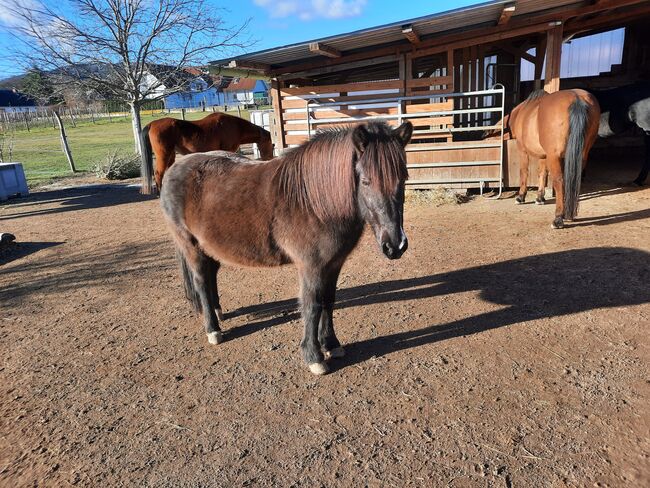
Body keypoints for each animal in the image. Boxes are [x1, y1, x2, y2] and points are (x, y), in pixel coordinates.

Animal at [140, 111, 272, 193]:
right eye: (271, 146)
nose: (269, 160)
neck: (236, 126)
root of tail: (152, 124)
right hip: (164, 155)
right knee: (158, 174)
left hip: (171, 155)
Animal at [159, 120, 410, 376]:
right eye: (366, 181)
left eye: (403, 178)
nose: (395, 245)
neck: (315, 202)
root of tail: (174, 169)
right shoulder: (311, 267)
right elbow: (312, 305)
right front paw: (314, 357)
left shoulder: (333, 264)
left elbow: (328, 301)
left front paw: (332, 345)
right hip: (191, 246)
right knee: (201, 281)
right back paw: (213, 329)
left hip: (211, 247)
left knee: (210, 276)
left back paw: (218, 312)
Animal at [492, 89, 596, 229]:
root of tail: (576, 98)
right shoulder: (544, 155)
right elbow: (542, 173)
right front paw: (539, 198)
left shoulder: (523, 150)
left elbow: (524, 172)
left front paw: (521, 196)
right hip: (581, 155)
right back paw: (569, 214)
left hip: (555, 157)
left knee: (559, 181)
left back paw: (558, 218)